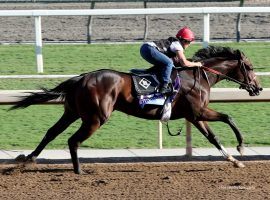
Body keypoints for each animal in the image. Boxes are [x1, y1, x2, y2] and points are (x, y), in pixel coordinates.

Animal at [11, 45, 262, 173]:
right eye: (249, 67)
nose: (258, 88)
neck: (198, 77)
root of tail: (80, 78)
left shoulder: (194, 115)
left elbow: (214, 137)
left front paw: (234, 160)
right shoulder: (198, 112)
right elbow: (229, 117)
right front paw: (241, 147)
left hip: (72, 112)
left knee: (51, 133)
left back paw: (27, 159)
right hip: (95, 118)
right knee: (73, 140)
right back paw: (79, 170)